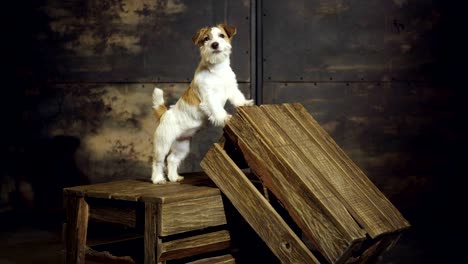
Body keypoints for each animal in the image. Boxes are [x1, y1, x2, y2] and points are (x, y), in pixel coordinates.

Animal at [151, 24, 252, 184]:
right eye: (206, 39)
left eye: (221, 36)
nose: (214, 44)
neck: (217, 70)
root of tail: (164, 114)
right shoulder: (209, 97)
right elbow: (217, 108)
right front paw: (224, 117)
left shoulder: (232, 88)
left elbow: (237, 97)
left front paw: (245, 103)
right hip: (163, 144)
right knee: (158, 161)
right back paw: (158, 179)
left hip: (182, 146)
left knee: (172, 159)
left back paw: (174, 177)